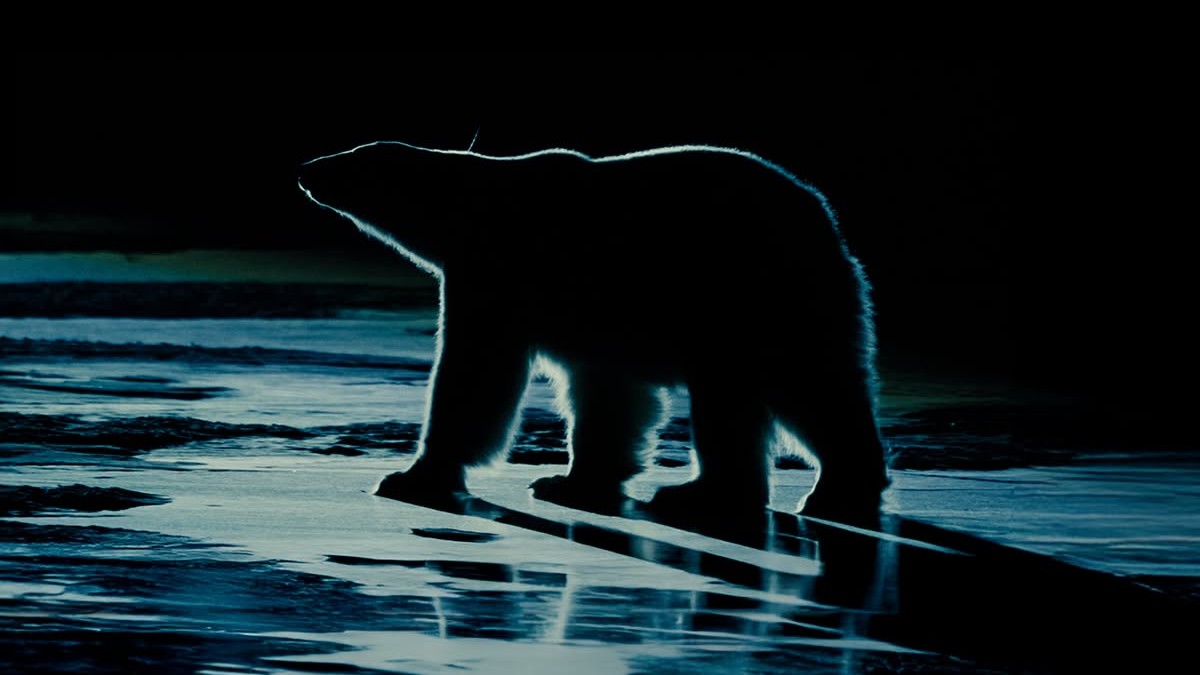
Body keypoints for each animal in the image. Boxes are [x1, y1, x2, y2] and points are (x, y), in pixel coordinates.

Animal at [298, 141, 888, 520]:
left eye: (347, 159)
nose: (305, 167)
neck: (480, 209)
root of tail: (823, 219)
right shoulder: (591, 316)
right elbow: (609, 392)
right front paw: (571, 482)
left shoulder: (496, 275)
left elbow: (476, 374)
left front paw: (414, 477)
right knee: (804, 387)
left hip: (749, 292)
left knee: (767, 387)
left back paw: (717, 494)